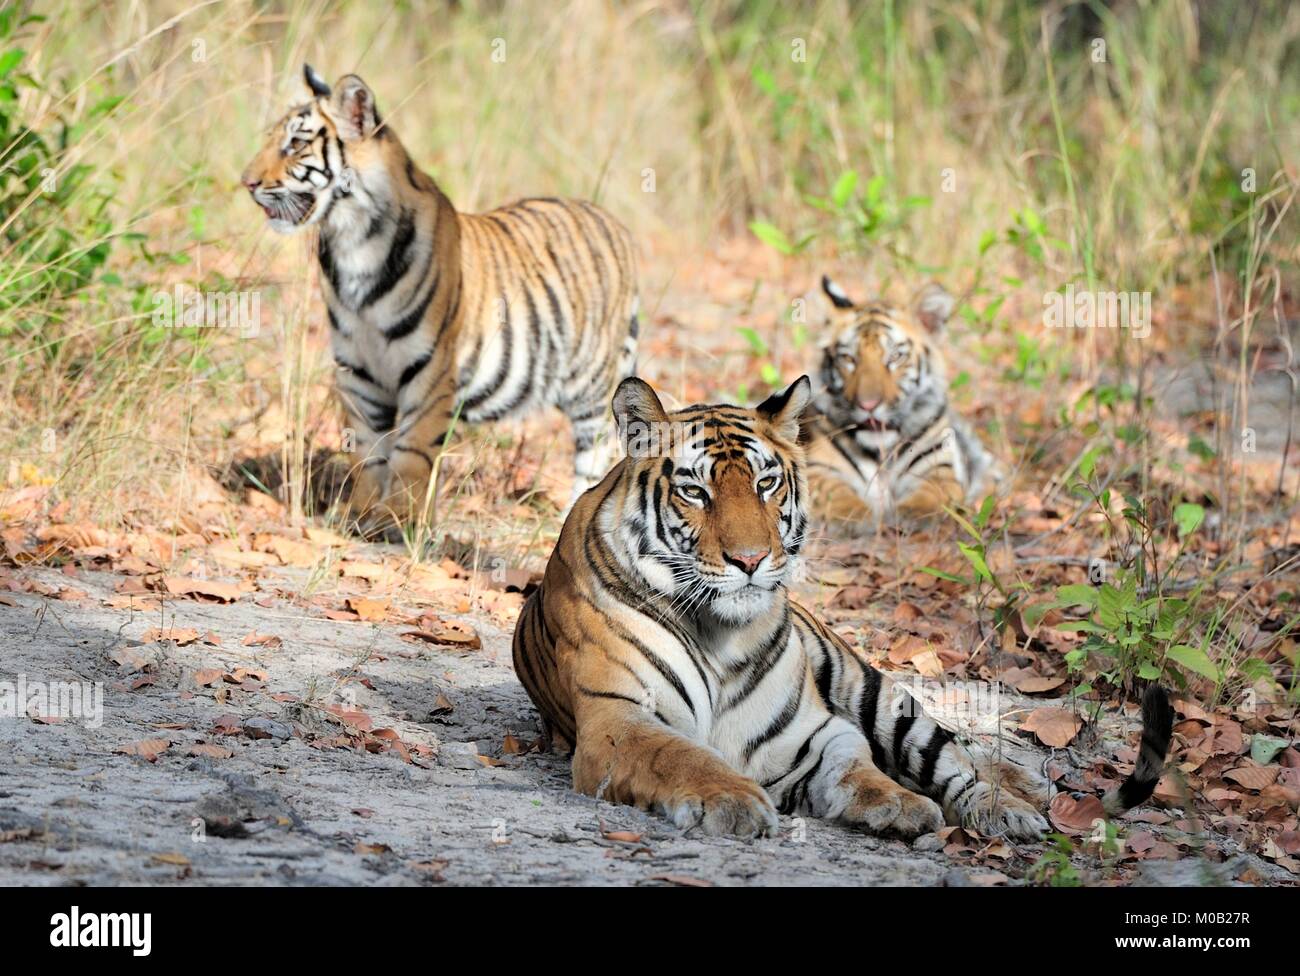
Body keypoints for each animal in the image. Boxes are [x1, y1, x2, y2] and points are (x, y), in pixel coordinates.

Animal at [240, 66, 639, 535]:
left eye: (296, 144)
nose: (247, 182)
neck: (349, 242)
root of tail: (614, 222)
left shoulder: (429, 367)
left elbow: (412, 448)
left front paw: (398, 517)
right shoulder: (357, 369)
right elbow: (367, 448)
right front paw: (360, 511)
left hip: (592, 385)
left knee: (596, 453)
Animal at [509, 374, 1180, 842]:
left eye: (765, 483)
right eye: (694, 491)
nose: (750, 560)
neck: (719, 634)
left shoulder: (814, 730)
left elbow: (858, 766)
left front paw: (900, 804)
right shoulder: (618, 719)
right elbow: (683, 755)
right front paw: (735, 801)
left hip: (875, 690)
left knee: (954, 756)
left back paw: (1009, 804)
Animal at [800, 275, 1003, 535]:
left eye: (895, 357)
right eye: (848, 359)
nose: (868, 404)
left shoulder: (938, 465)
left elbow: (933, 490)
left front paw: (913, 513)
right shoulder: (819, 467)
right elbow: (832, 491)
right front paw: (854, 515)